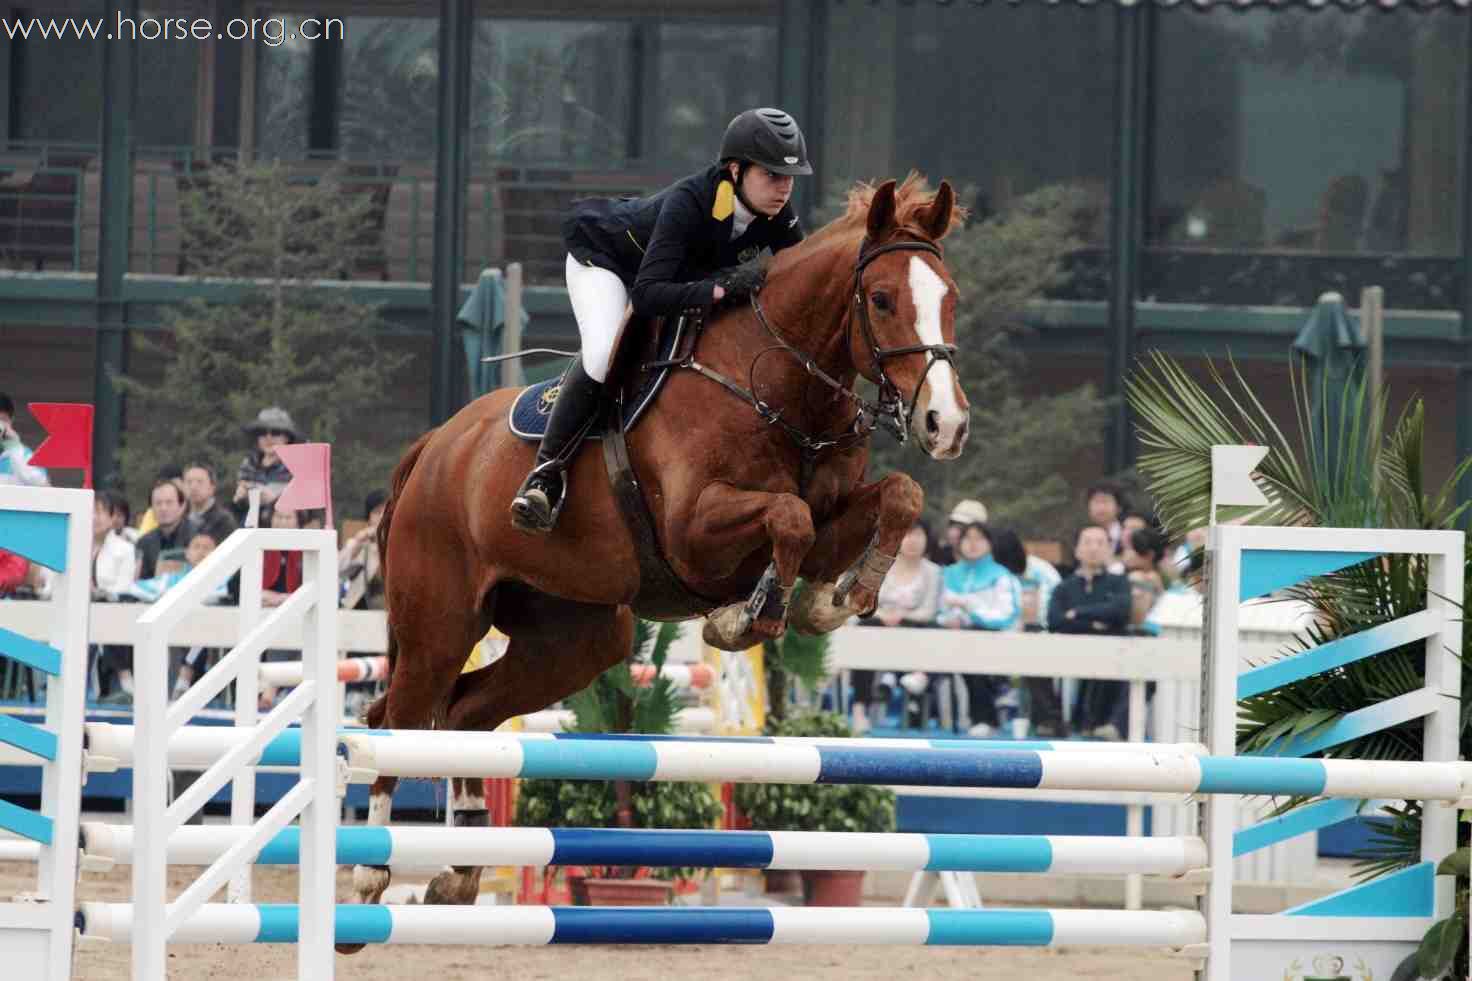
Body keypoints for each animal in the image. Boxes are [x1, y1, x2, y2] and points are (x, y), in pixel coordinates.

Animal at [338, 173, 971, 942]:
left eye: (950, 296)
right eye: (880, 299)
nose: (946, 423)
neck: (774, 384)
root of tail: (434, 446)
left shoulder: (832, 514)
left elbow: (897, 496)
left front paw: (834, 598)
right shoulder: (694, 532)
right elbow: (786, 518)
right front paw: (747, 616)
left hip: (575, 638)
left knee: (462, 715)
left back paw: (459, 871)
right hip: (441, 620)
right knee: (396, 718)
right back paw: (371, 871)